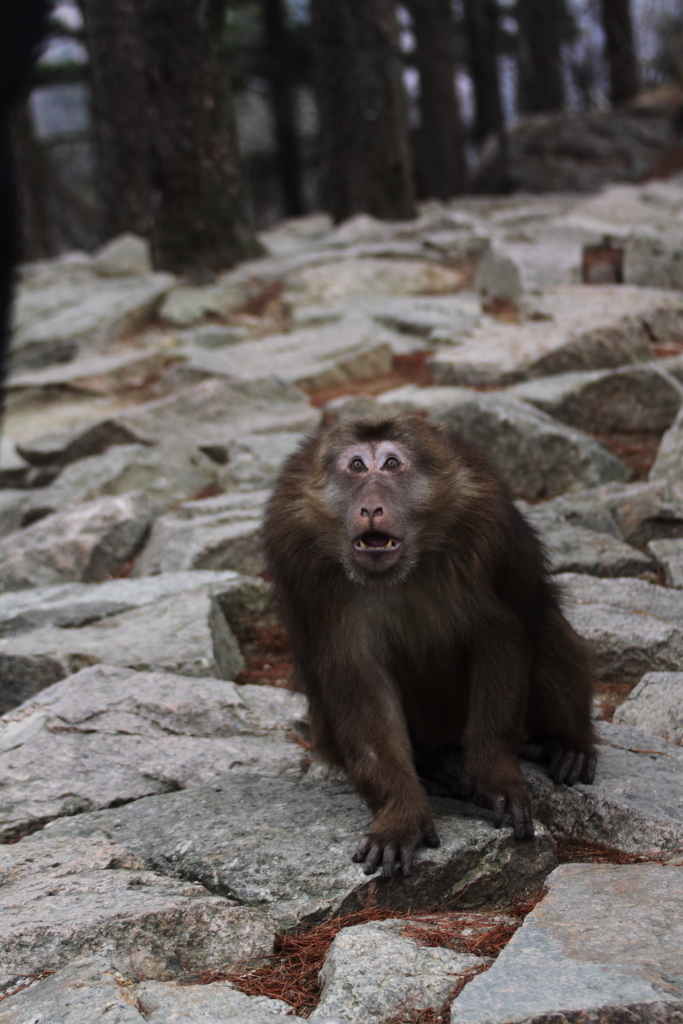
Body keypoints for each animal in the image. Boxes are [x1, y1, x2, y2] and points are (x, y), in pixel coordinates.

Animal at [264, 415, 598, 880]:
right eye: (355, 466)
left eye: (390, 463)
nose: (371, 507)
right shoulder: (302, 558)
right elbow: (356, 674)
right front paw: (401, 813)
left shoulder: (487, 524)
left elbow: (502, 633)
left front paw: (495, 775)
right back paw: (434, 769)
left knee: (543, 626)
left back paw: (564, 744)